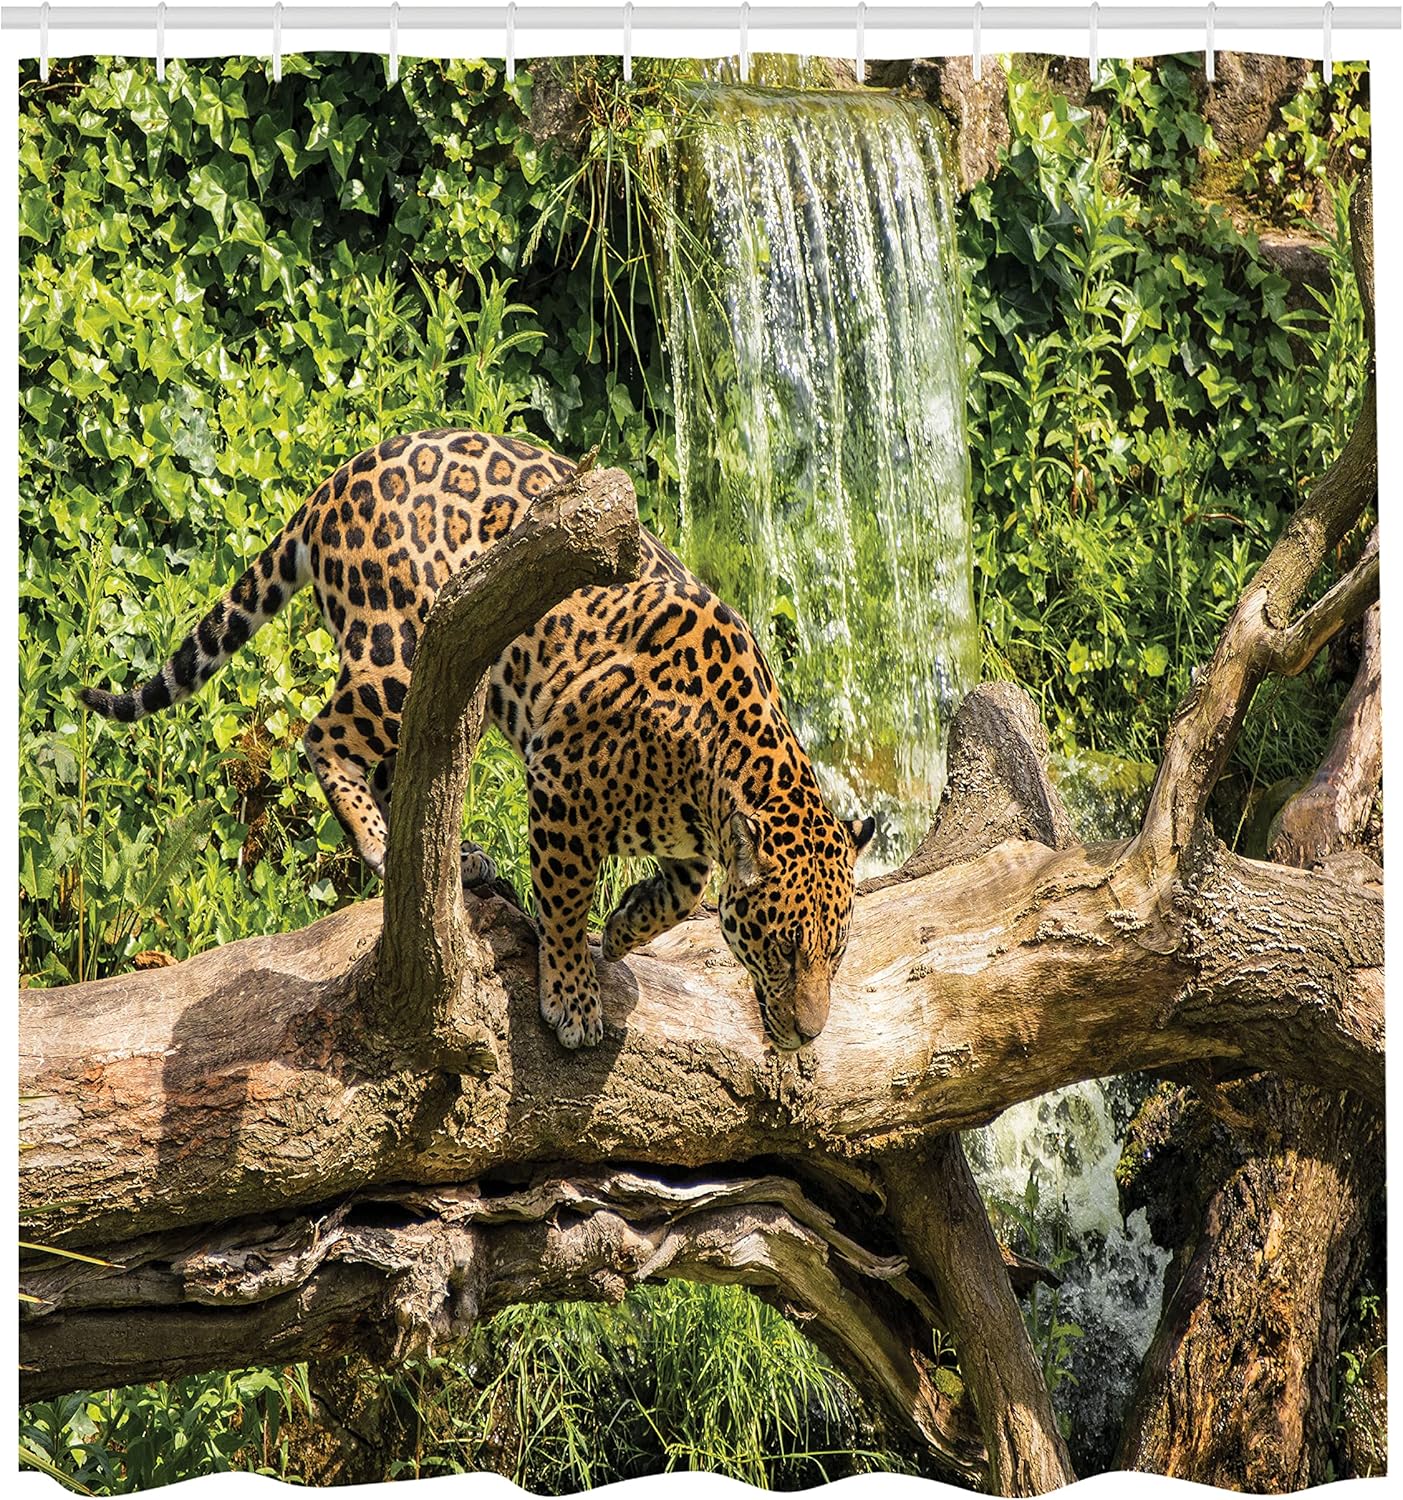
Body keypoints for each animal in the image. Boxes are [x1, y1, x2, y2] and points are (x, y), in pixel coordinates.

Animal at [80, 430, 875, 1051]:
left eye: (835, 952)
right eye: (782, 947)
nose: (808, 1034)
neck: (720, 761)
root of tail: (341, 473)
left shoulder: (692, 836)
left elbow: (684, 892)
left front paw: (624, 929)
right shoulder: (559, 782)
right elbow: (565, 898)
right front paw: (573, 997)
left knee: (408, 777)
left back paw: (457, 858)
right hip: (402, 653)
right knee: (324, 736)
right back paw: (378, 844)